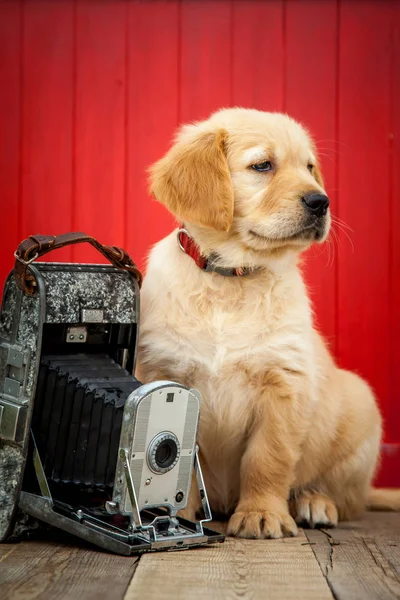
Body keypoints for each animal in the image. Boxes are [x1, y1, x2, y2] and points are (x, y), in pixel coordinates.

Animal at [136, 108, 398, 540]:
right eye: (262, 166)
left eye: (309, 168)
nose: (321, 201)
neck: (232, 277)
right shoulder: (164, 372)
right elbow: (180, 461)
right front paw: (177, 514)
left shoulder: (284, 383)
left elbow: (267, 458)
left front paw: (261, 514)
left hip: (360, 406)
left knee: (345, 498)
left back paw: (314, 503)